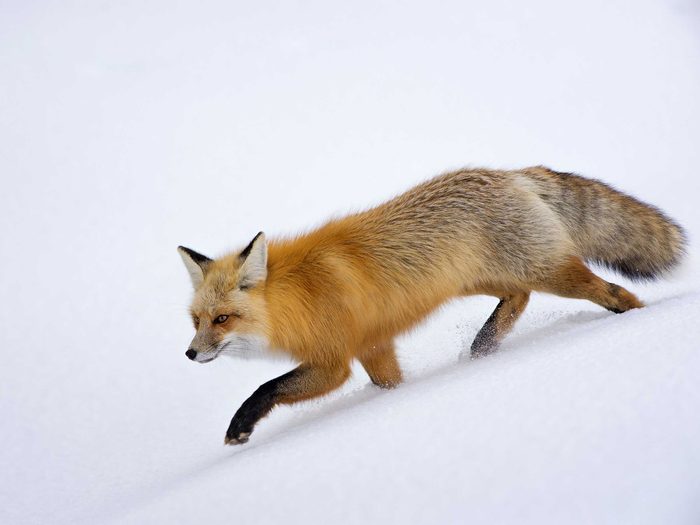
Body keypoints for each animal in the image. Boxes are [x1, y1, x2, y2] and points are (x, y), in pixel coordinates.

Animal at [178, 166, 686, 445]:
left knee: (614, 293)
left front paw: (241, 425)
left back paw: (640, 322)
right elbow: (389, 385)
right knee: (517, 298)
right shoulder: (374, 346)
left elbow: (268, 388)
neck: (297, 295)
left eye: (223, 319)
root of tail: (511, 173)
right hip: (482, 281)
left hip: (550, 273)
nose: (190, 353)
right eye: (196, 320)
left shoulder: (334, 361)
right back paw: (484, 347)